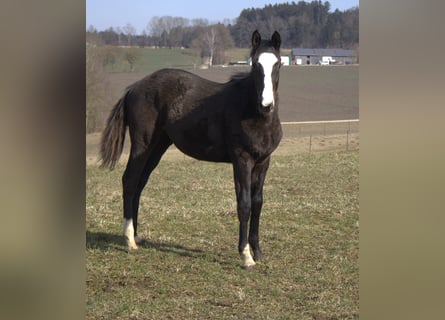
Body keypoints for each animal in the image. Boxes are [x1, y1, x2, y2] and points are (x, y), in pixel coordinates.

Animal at [99, 30, 280, 268]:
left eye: (277, 64)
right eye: (255, 64)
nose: (266, 104)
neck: (252, 113)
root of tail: (133, 88)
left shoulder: (263, 161)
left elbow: (258, 203)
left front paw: (258, 252)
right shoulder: (242, 160)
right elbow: (244, 204)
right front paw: (246, 256)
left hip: (157, 147)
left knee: (139, 184)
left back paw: (136, 236)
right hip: (142, 144)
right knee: (129, 181)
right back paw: (129, 240)